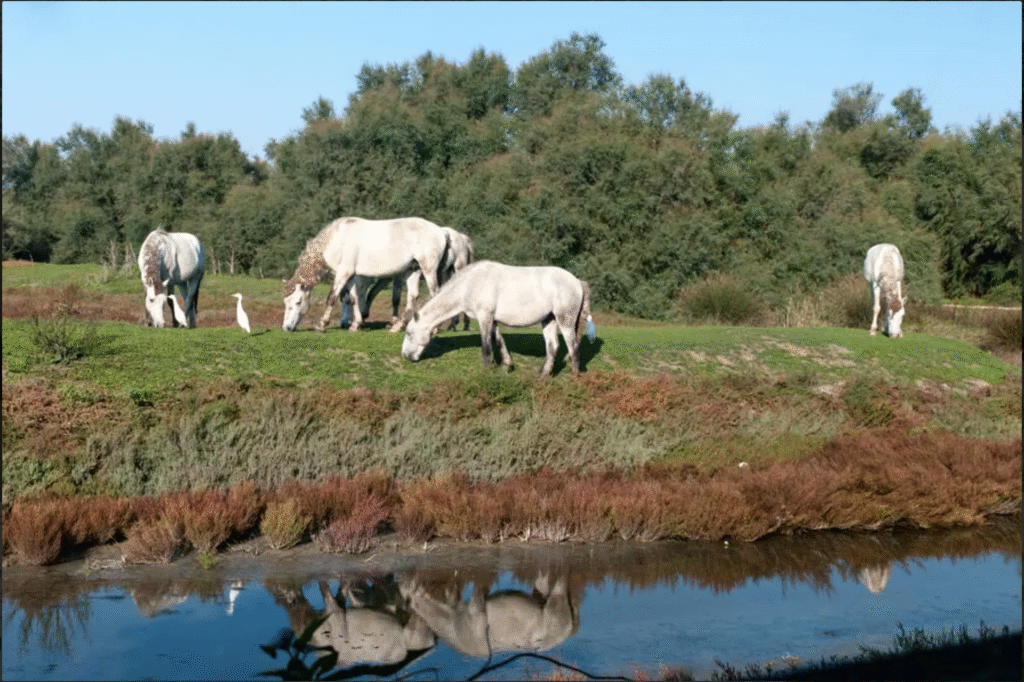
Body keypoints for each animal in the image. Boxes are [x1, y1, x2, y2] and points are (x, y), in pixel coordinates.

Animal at [281, 217, 448, 332]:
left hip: (428, 270)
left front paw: (321, 325)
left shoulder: (343, 272)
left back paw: (434, 328)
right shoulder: (351, 276)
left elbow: (331, 298)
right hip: (413, 271)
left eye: (298, 302)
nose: (287, 328)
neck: (337, 240)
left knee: (435, 294)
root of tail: (441, 231)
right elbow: (353, 298)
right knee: (412, 297)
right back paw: (397, 326)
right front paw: (356, 324)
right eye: (286, 303)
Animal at [340, 226, 475, 331]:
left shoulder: (396, 277)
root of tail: (462, 237)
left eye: (348, 302)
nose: (343, 325)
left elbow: (394, 298)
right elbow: (373, 293)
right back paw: (455, 324)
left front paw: (394, 321)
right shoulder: (387, 278)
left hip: (456, 268)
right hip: (445, 273)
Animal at [401, 260, 596, 377]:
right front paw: (507, 365)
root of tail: (577, 282)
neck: (470, 284)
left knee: (573, 347)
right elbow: (499, 342)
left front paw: (487, 371)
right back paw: (542, 376)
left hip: (565, 321)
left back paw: (574, 376)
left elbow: (487, 347)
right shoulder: (492, 320)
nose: (406, 356)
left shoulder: (484, 318)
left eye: (409, 333)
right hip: (549, 320)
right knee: (553, 347)